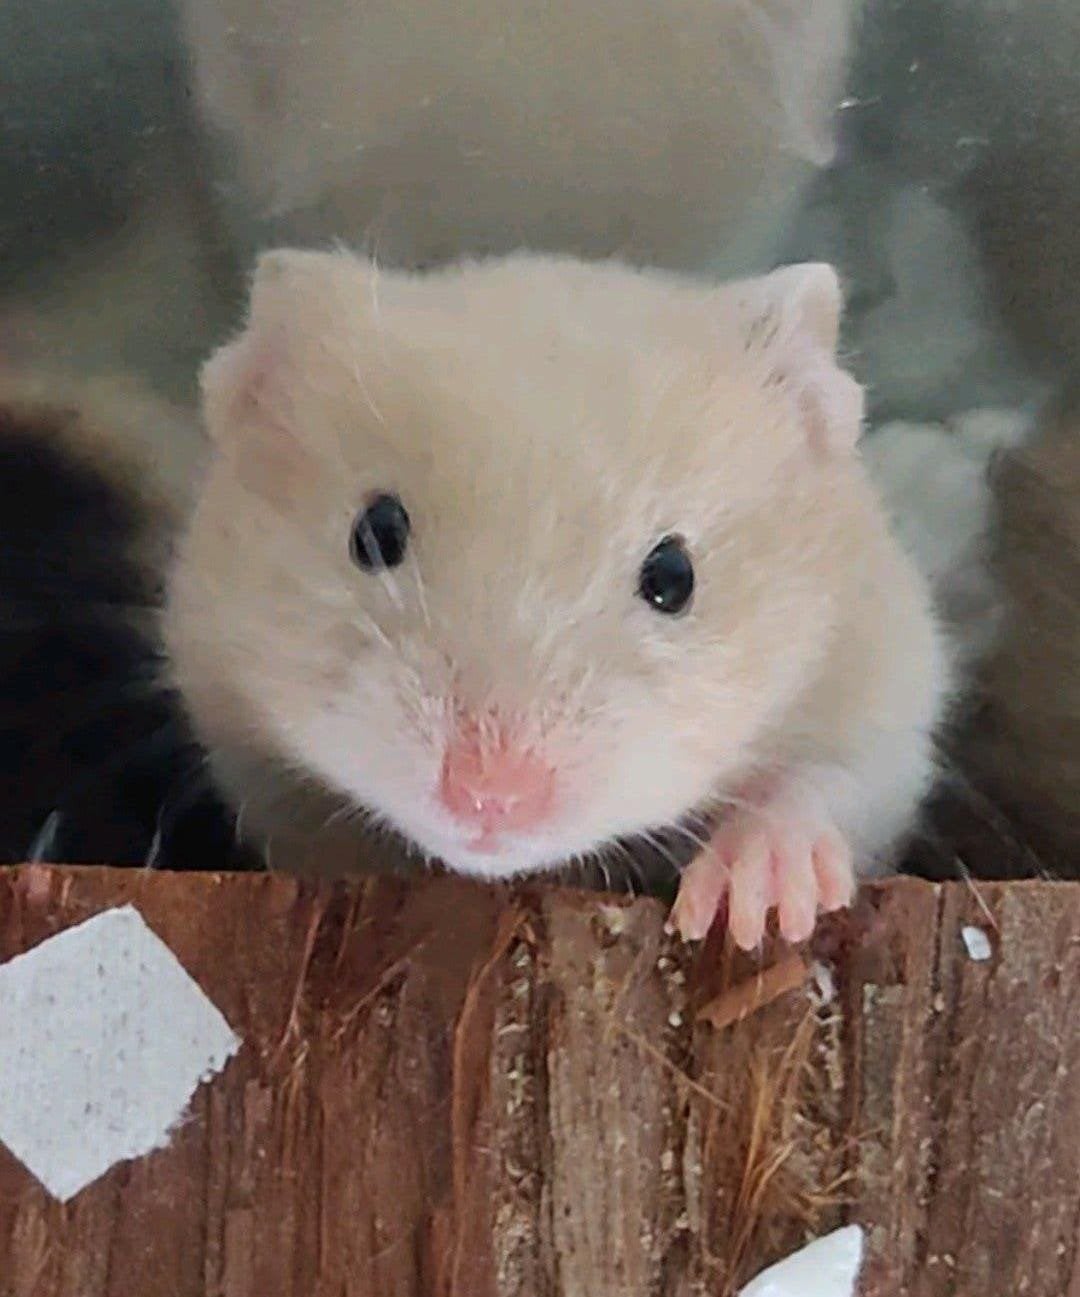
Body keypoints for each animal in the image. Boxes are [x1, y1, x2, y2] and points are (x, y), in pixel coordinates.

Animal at [164, 249, 950, 949]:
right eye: (375, 533)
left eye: (675, 577)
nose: (490, 799)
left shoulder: (884, 701)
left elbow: (820, 785)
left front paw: (752, 908)